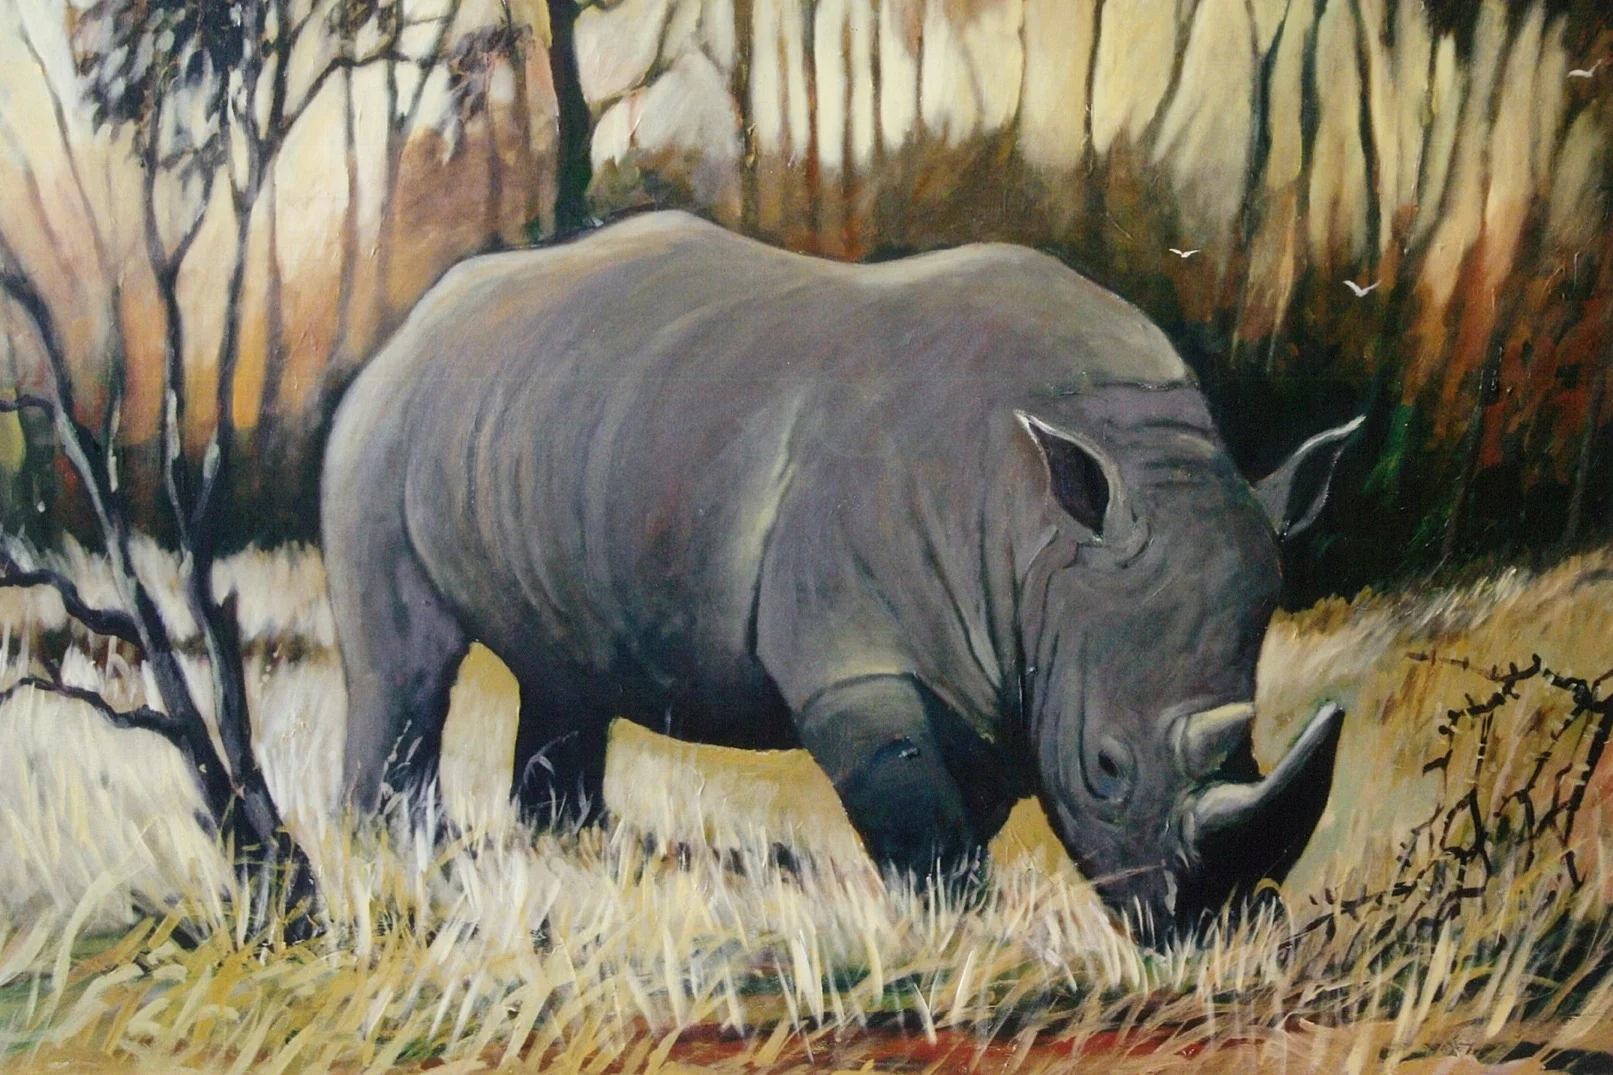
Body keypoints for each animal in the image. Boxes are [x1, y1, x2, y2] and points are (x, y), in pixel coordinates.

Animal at [322, 211, 1357, 939]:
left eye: (1251, 744)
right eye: (1106, 768)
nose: (1212, 928)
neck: (1044, 527)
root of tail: (419, 316)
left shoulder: (1005, 650)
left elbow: (970, 791)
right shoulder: (855, 658)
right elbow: (914, 804)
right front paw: (954, 923)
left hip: (557, 425)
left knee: (565, 665)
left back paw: (575, 849)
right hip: (383, 425)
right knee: (404, 661)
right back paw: (393, 846)